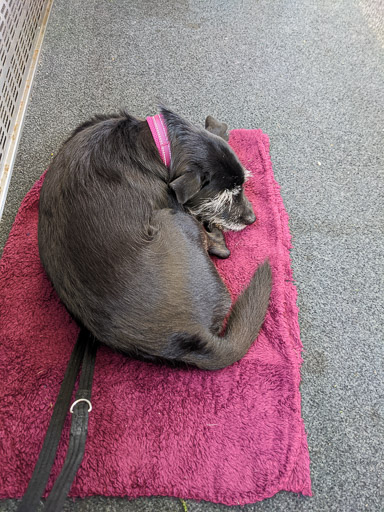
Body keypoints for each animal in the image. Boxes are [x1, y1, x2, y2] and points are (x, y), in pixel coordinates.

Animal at [37, 106, 272, 368]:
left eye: (242, 186)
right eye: (223, 198)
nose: (252, 219)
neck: (159, 144)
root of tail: (190, 334)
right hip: (173, 219)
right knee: (219, 247)